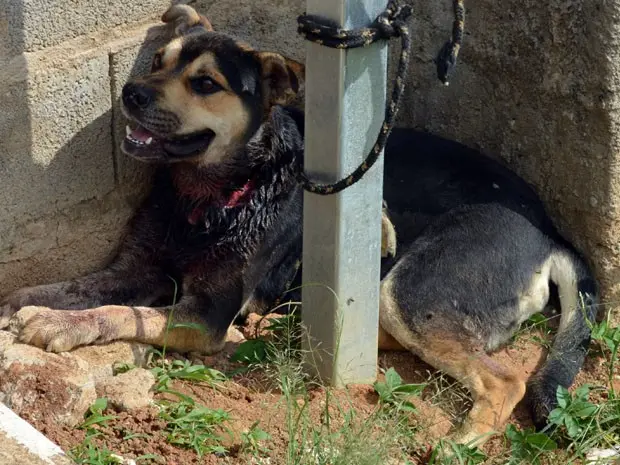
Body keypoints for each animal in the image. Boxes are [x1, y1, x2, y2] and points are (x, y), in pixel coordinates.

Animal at [1, 4, 600, 446]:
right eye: (157, 62)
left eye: (205, 83)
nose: (131, 93)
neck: (214, 197)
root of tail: (551, 235)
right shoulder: (135, 265)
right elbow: (76, 287)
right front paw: (28, 304)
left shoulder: (206, 313)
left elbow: (127, 314)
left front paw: (56, 325)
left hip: (413, 289)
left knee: (505, 379)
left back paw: (460, 441)